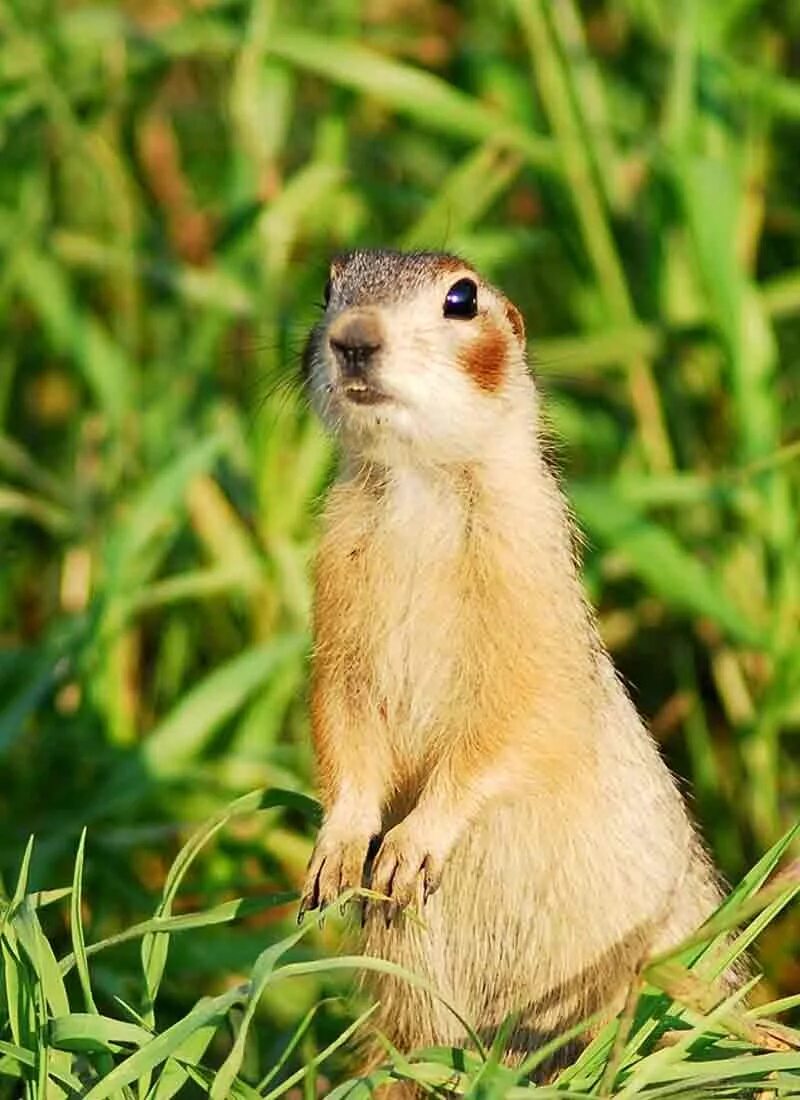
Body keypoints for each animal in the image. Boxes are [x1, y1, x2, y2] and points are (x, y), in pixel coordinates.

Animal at [297, 249, 721, 1082]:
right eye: (329, 284)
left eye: (462, 297)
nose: (353, 337)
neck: (419, 493)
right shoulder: (336, 608)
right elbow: (340, 717)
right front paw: (340, 847)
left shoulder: (531, 601)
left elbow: (513, 724)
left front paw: (410, 846)